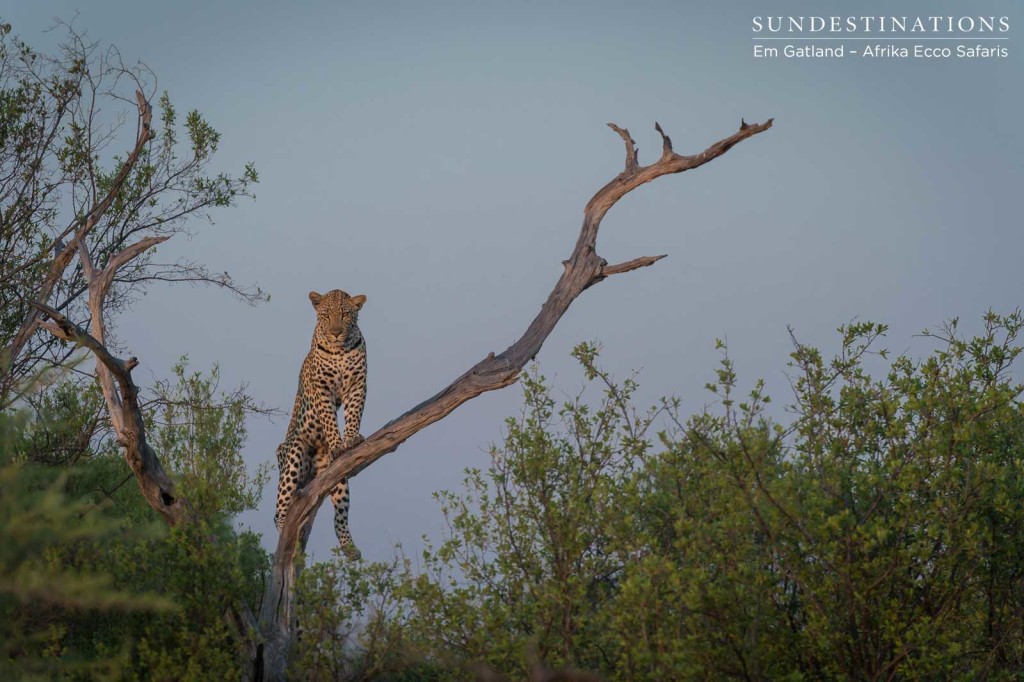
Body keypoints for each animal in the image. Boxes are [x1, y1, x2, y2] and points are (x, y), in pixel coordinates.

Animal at [274, 288, 366, 557]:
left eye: (345, 314)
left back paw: (349, 547)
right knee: (281, 505)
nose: (335, 332)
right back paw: (286, 530)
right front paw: (337, 443)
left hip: (337, 477)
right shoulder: (322, 390)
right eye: (326, 315)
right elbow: (329, 419)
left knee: (340, 517)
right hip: (293, 454)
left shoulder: (357, 384)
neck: (340, 351)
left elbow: (353, 414)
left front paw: (352, 438)